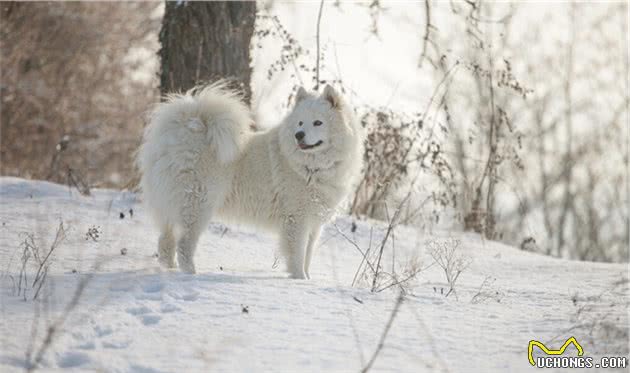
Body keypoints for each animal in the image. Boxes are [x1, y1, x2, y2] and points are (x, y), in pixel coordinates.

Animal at [138, 83, 366, 278]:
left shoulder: (314, 224)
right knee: (184, 244)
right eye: (300, 122)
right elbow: (297, 256)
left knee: (165, 241)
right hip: (198, 205)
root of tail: (184, 130)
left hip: (172, 205)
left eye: (318, 122)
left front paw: (308, 280)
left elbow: (308, 256)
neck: (311, 167)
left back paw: (169, 269)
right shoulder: (297, 219)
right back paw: (191, 274)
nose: (299, 135)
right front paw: (298, 280)